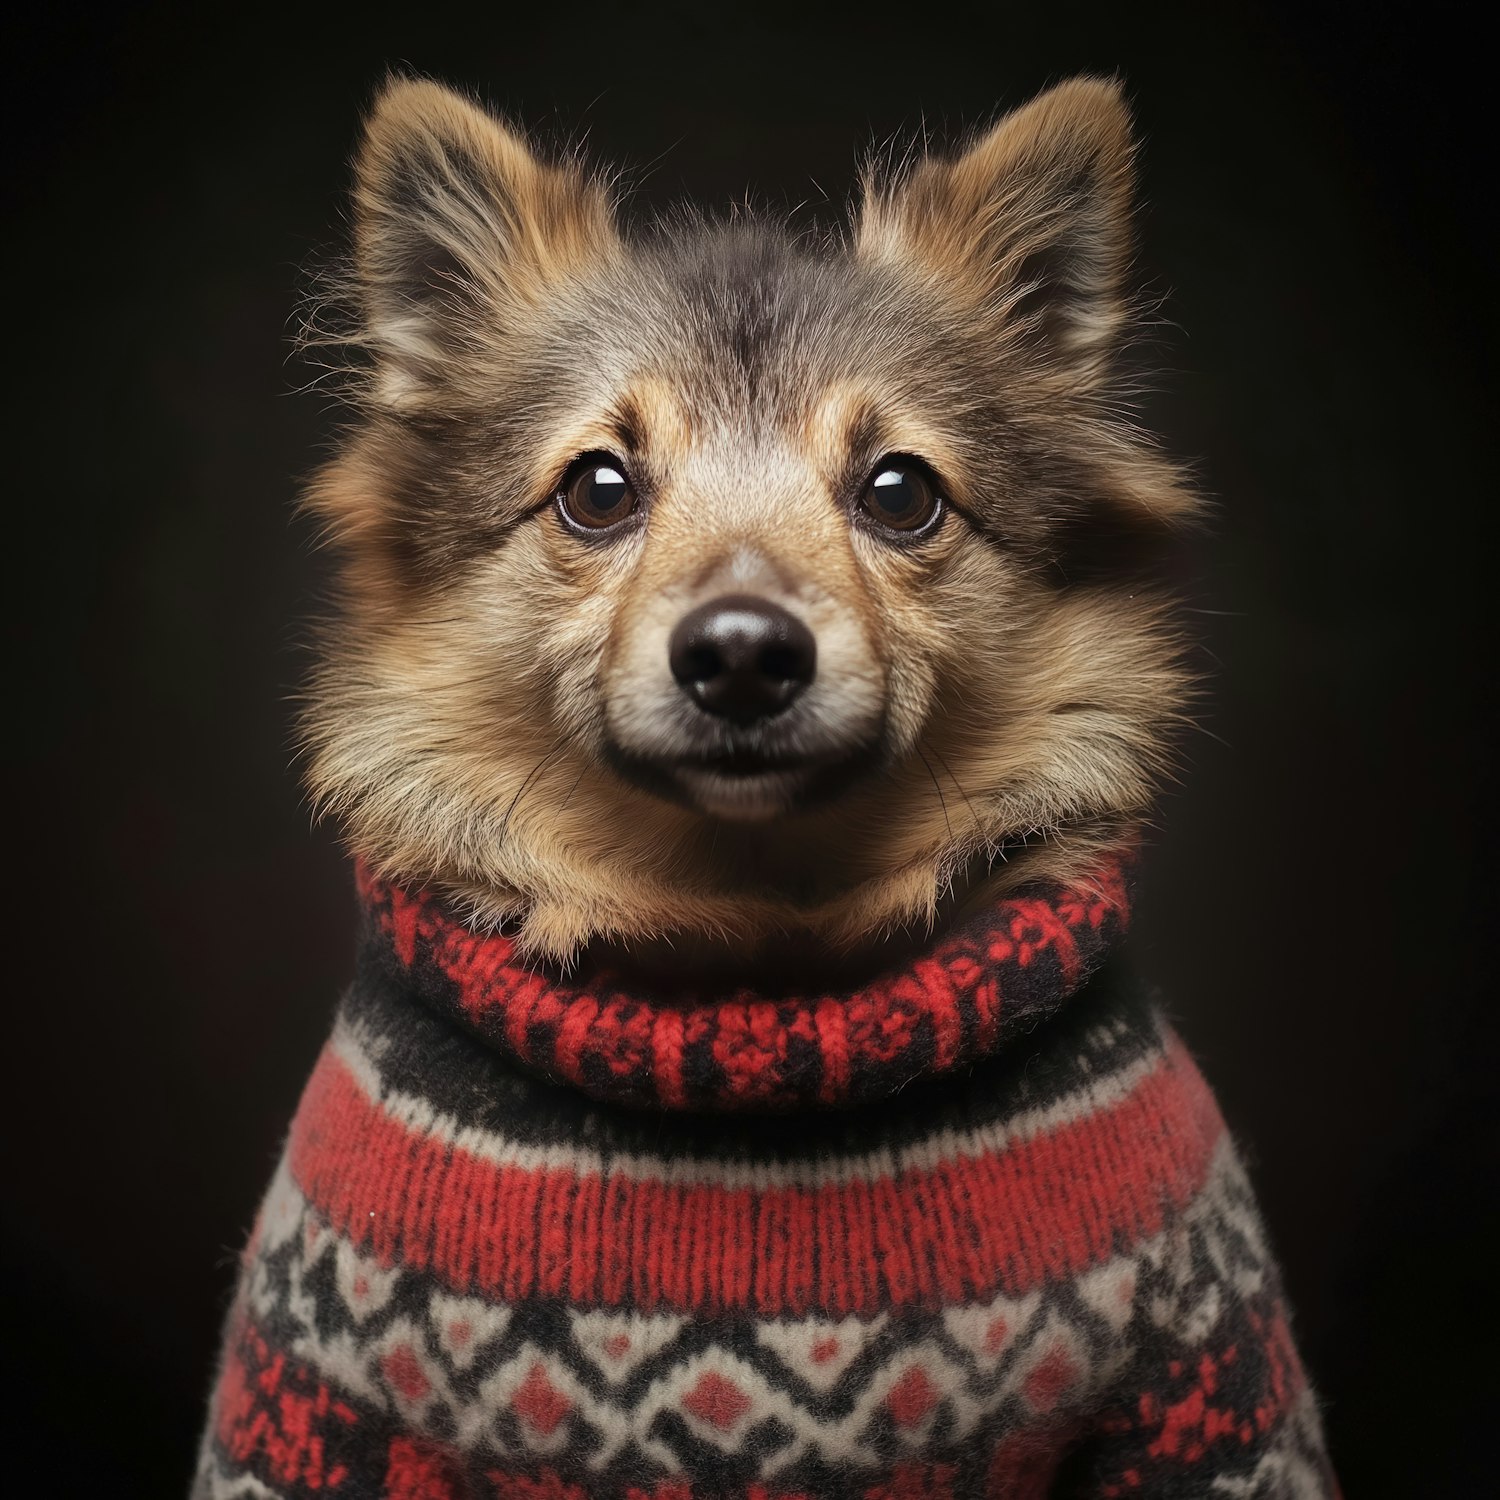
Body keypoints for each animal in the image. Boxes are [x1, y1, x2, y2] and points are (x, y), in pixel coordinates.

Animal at [196, 76, 1338, 1494]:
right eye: (597, 489)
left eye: (900, 492)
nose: (742, 653)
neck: (749, 954)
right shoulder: (315, 1391)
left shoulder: (1206, 1382)